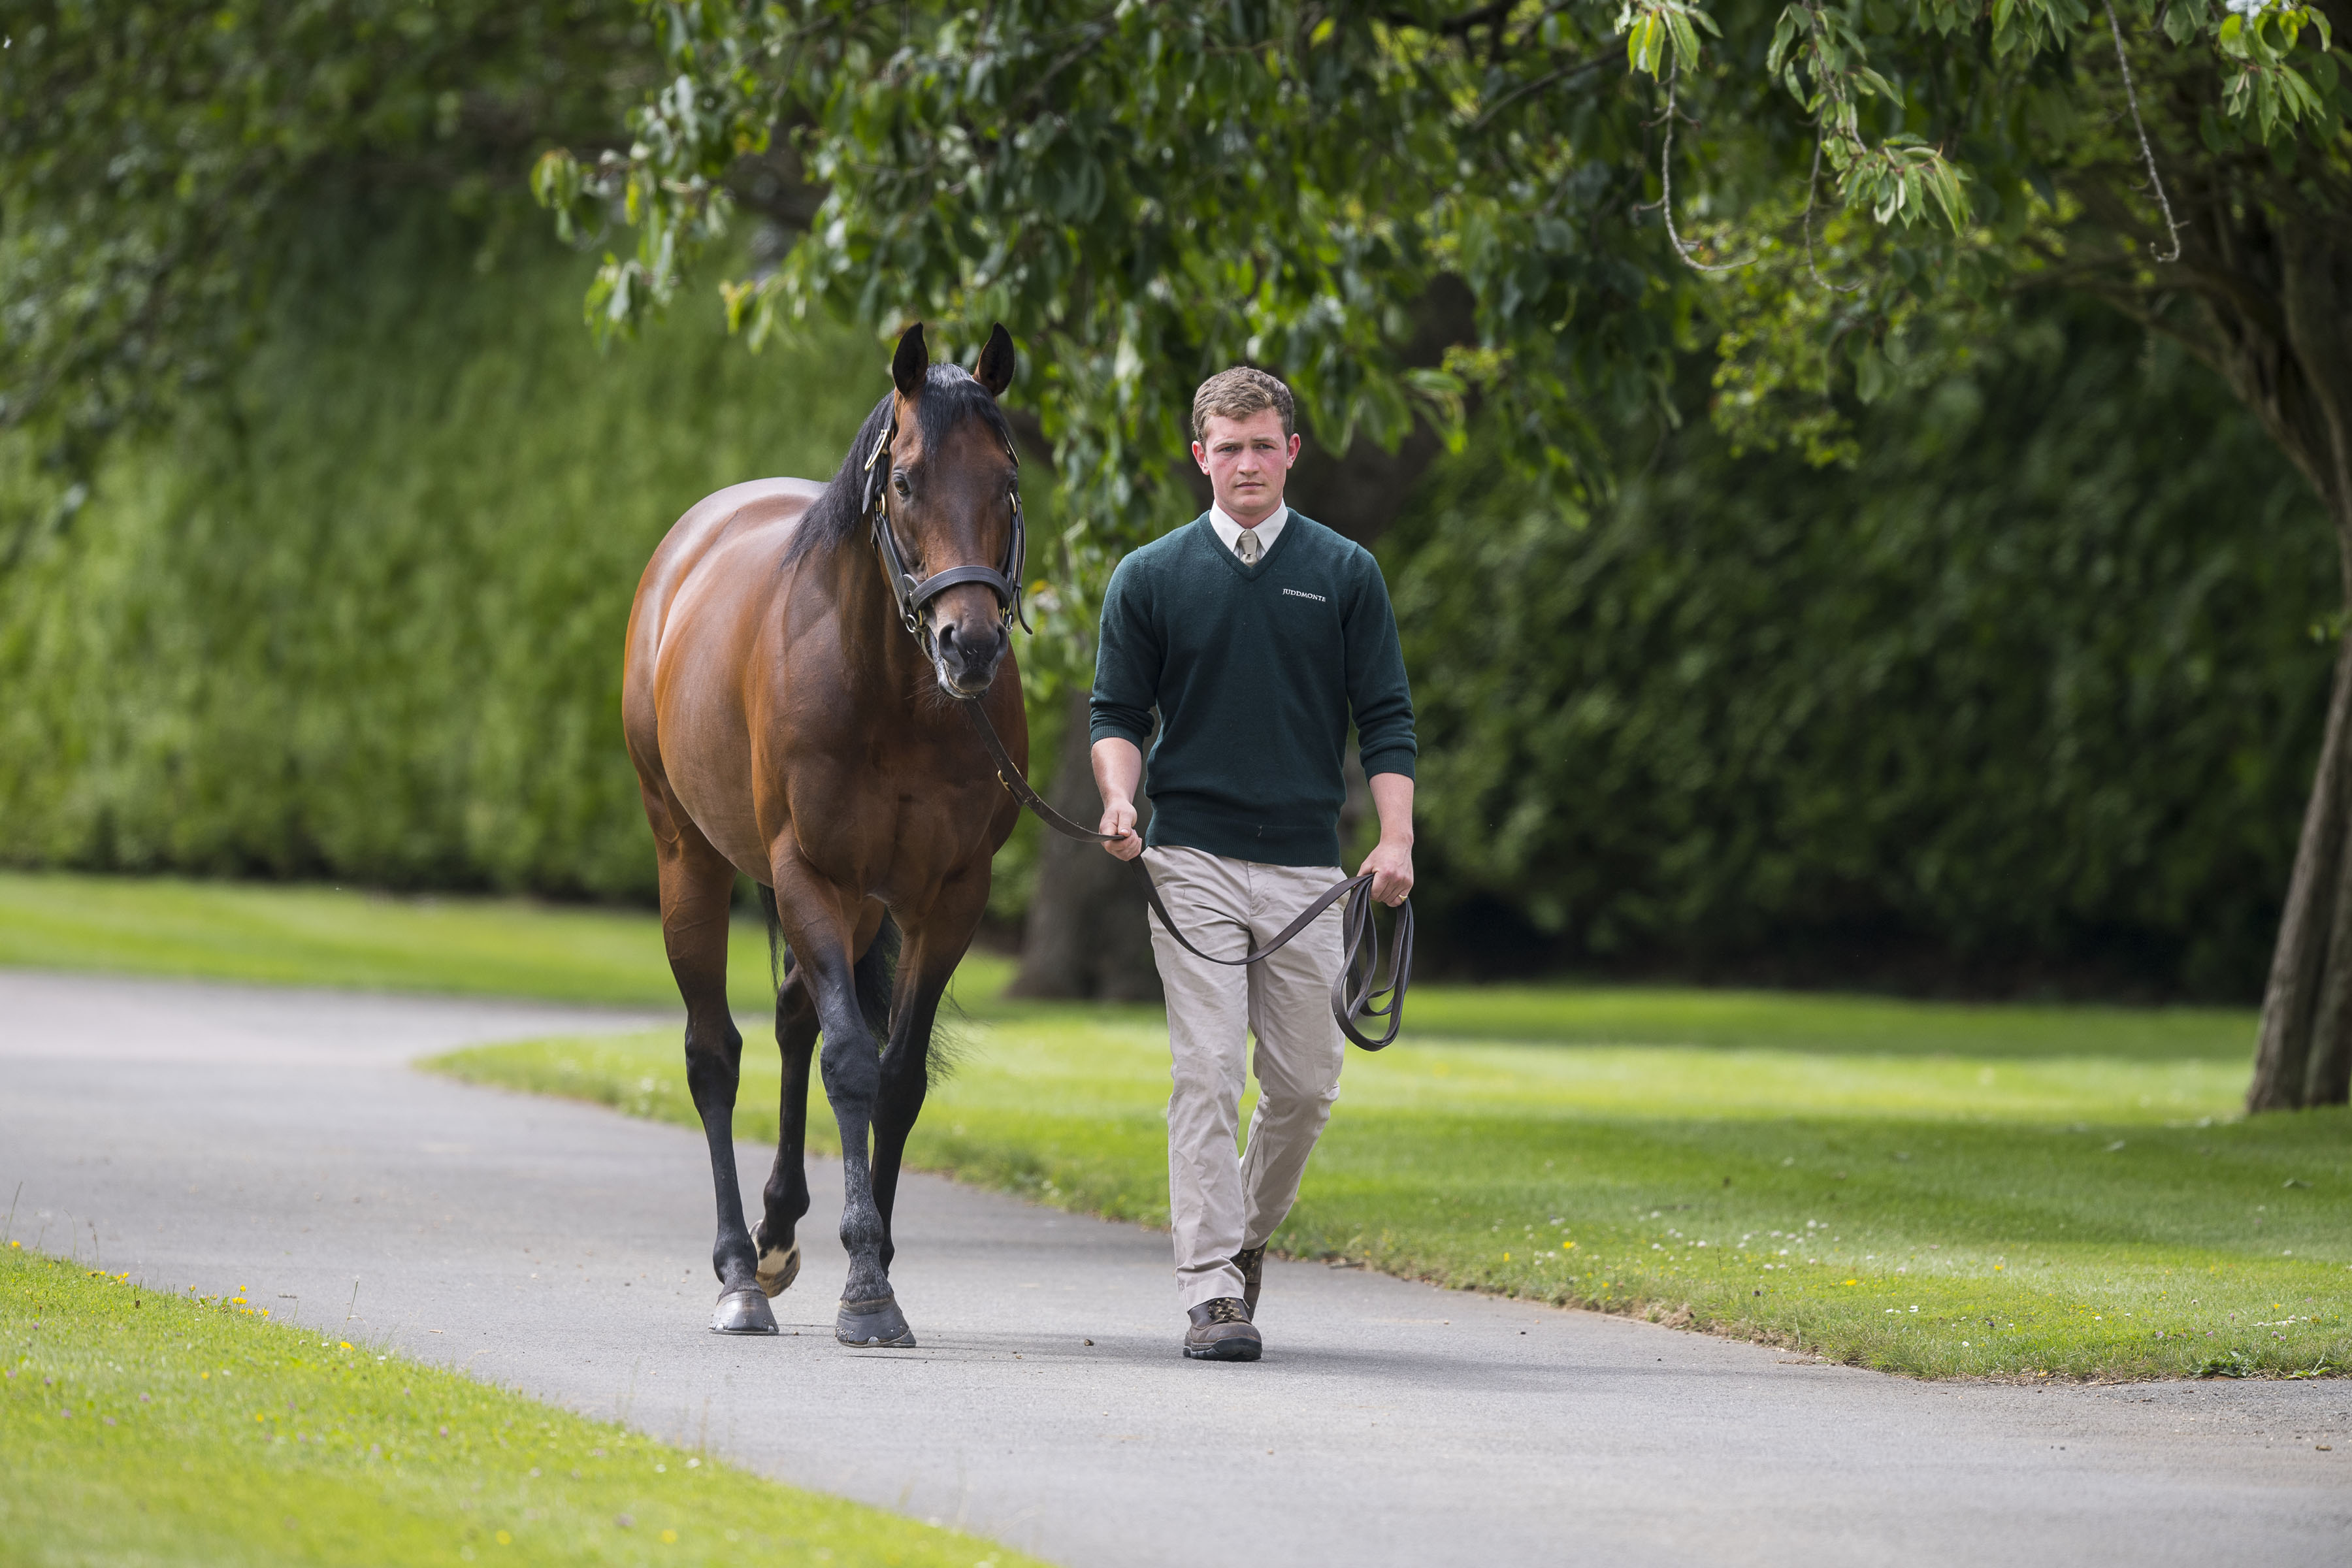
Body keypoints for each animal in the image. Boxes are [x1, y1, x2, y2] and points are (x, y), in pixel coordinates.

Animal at [625, 321, 1030, 1354]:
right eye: (907, 482)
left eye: (1006, 479)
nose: (970, 644)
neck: (892, 692)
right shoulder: (806, 870)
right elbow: (850, 1062)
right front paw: (867, 1286)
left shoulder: (947, 897)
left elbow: (895, 1078)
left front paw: (871, 1259)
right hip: (693, 861)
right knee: (714, 1053)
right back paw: (739, 1271)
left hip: (854, 908)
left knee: (792, 1020)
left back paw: (777, 1232)